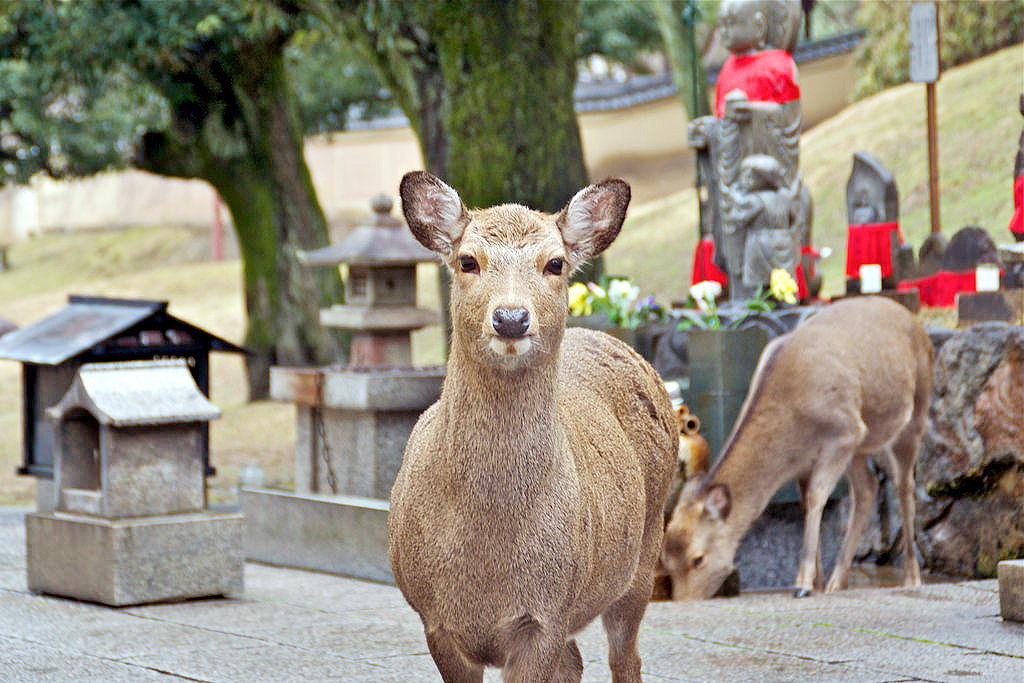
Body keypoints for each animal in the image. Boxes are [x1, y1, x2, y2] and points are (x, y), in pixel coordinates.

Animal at [387, 172, 675, 683]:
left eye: (555, 263)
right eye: (467, 260)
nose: (511, 318)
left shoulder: (547, 614)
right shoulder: (434, 619)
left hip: (644, 551)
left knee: (626, 656)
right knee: (576, 660)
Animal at [659, 296, 933, 602]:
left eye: (698, 559)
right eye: (666, 560)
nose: (684, 601)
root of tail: (913, 318)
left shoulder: (843, 433)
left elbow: (816, 498)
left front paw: (802, 583)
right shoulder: (810, 457)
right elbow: (806, 502)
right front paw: (817, 583)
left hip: (916, 410)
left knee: (904, 485)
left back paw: (912, 577)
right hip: (861, 446)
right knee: (867, 488)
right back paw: (837, 581)